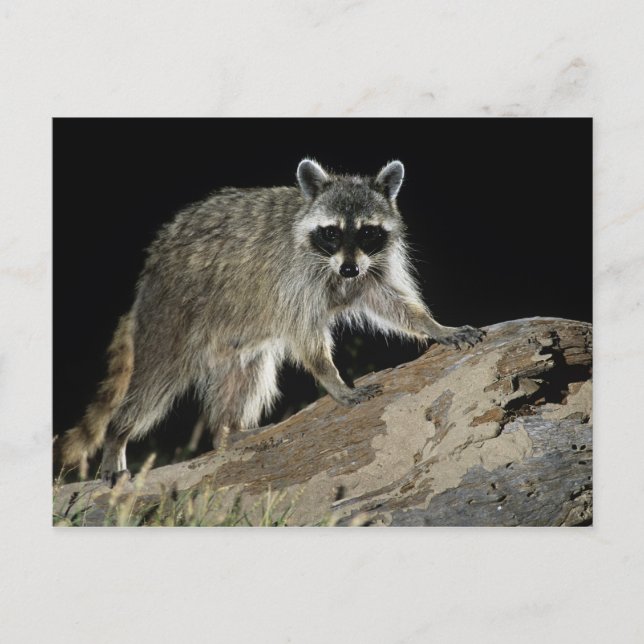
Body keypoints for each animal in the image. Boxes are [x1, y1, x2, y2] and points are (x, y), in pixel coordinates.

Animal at [59, 159, 484, 483]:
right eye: (331, 233)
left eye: (367, 232)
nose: (348, 269)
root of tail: (148, 277)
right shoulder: (292, 278)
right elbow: (305, 335)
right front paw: (332, 378)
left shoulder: (371, 266)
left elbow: (390, 302)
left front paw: (435, 326)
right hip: (171, 315)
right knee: (155, 382)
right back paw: (118, 437)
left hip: (232, 342)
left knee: (246, 378)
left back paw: (230, 433)